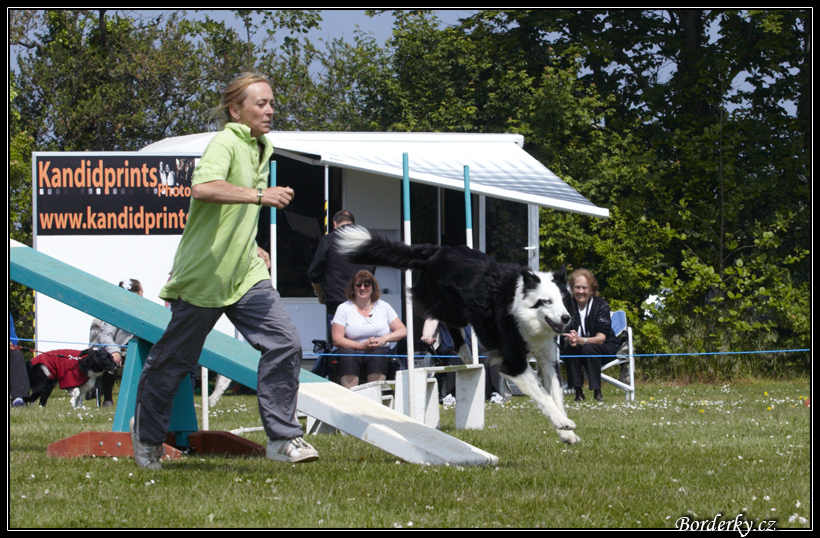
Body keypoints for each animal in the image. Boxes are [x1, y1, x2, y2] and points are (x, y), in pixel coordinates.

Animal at [336, 224, 580, 442]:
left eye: (563, 300)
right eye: (546, 301)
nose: (566, 318)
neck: (525, 313)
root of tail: (438, 251)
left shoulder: (547, 358)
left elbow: (555, 394)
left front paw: (566, 433)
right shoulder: (514, 362)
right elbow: (543, 395)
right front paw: (562, 423)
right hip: (452, 308)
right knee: (446, 323)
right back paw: (464, 352)